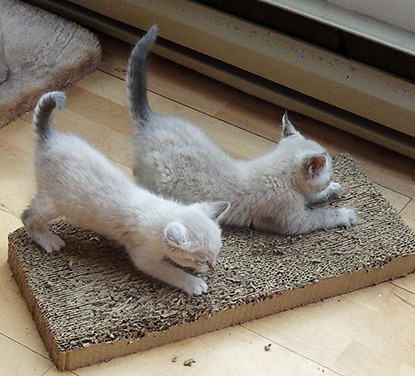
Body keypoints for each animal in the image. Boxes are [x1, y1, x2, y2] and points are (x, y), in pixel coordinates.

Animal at [21, 90, 231, 294]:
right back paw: (48, 240)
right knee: (27, 216)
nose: (212, 265)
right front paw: (194, 283)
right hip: (53, 202)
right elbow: (172, 272)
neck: (162, 211)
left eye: (216, 254)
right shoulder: (145, 258)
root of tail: (50, 138)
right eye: (202, 259)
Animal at [127, 25, 358, 235]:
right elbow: (321, 216)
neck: (279, 176)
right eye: (329, 171)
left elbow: (312, 197)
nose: (331, 177)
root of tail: (149, 120)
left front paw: (331, 189)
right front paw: (343, 214)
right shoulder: (293, 221)